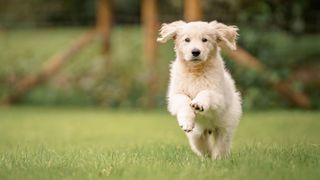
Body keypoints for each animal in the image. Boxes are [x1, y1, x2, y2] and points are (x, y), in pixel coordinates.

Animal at [158, 20, 242, 159]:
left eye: (205, 40)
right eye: (187, 40)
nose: (195, 52)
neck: (195, 71)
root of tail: (209, 129)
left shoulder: (218, 96)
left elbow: (206, 92)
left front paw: (199, 103)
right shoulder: (175, 95)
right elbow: (183, 100)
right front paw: (186, 121)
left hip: (225, 127)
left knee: (221, 147)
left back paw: (218, 159)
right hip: (197, 135)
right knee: (204, 148)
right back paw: (206, 158)